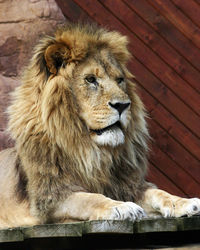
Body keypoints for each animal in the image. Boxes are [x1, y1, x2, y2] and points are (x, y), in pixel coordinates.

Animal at [0, 23, 200, 229]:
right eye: (90, 79)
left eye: (119, 80)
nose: (122, 105)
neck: (92, 152)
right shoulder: (49, 200)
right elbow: (89, 198)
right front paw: (122, 207)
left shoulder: (128, 185)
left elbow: (157, 192)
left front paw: (184, 202)